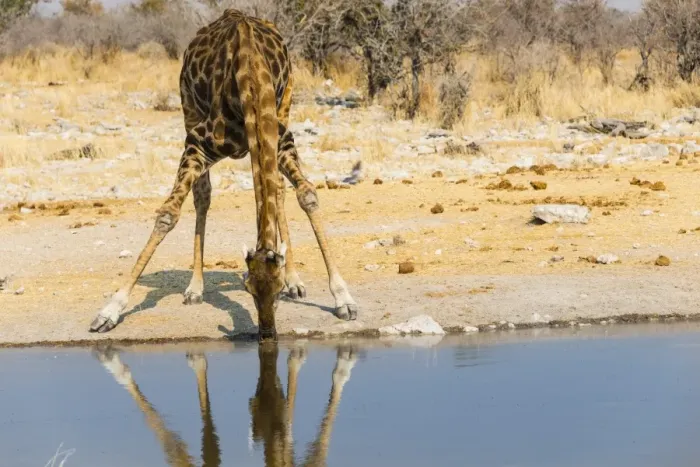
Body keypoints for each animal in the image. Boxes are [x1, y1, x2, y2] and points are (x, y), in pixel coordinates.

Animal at [88, 9, 358, 340]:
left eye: (276, 290)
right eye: (249, 290)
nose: (267, 333)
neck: (252, 78)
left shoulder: (282, 140)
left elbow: (307, 194)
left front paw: (342, 297)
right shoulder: (197, 145)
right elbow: (168, 214)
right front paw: (109, 310)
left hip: (287, 103)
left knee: (279, 189)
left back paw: (296, 280)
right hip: (188, 110)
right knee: (202, 195)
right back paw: (194, 288)